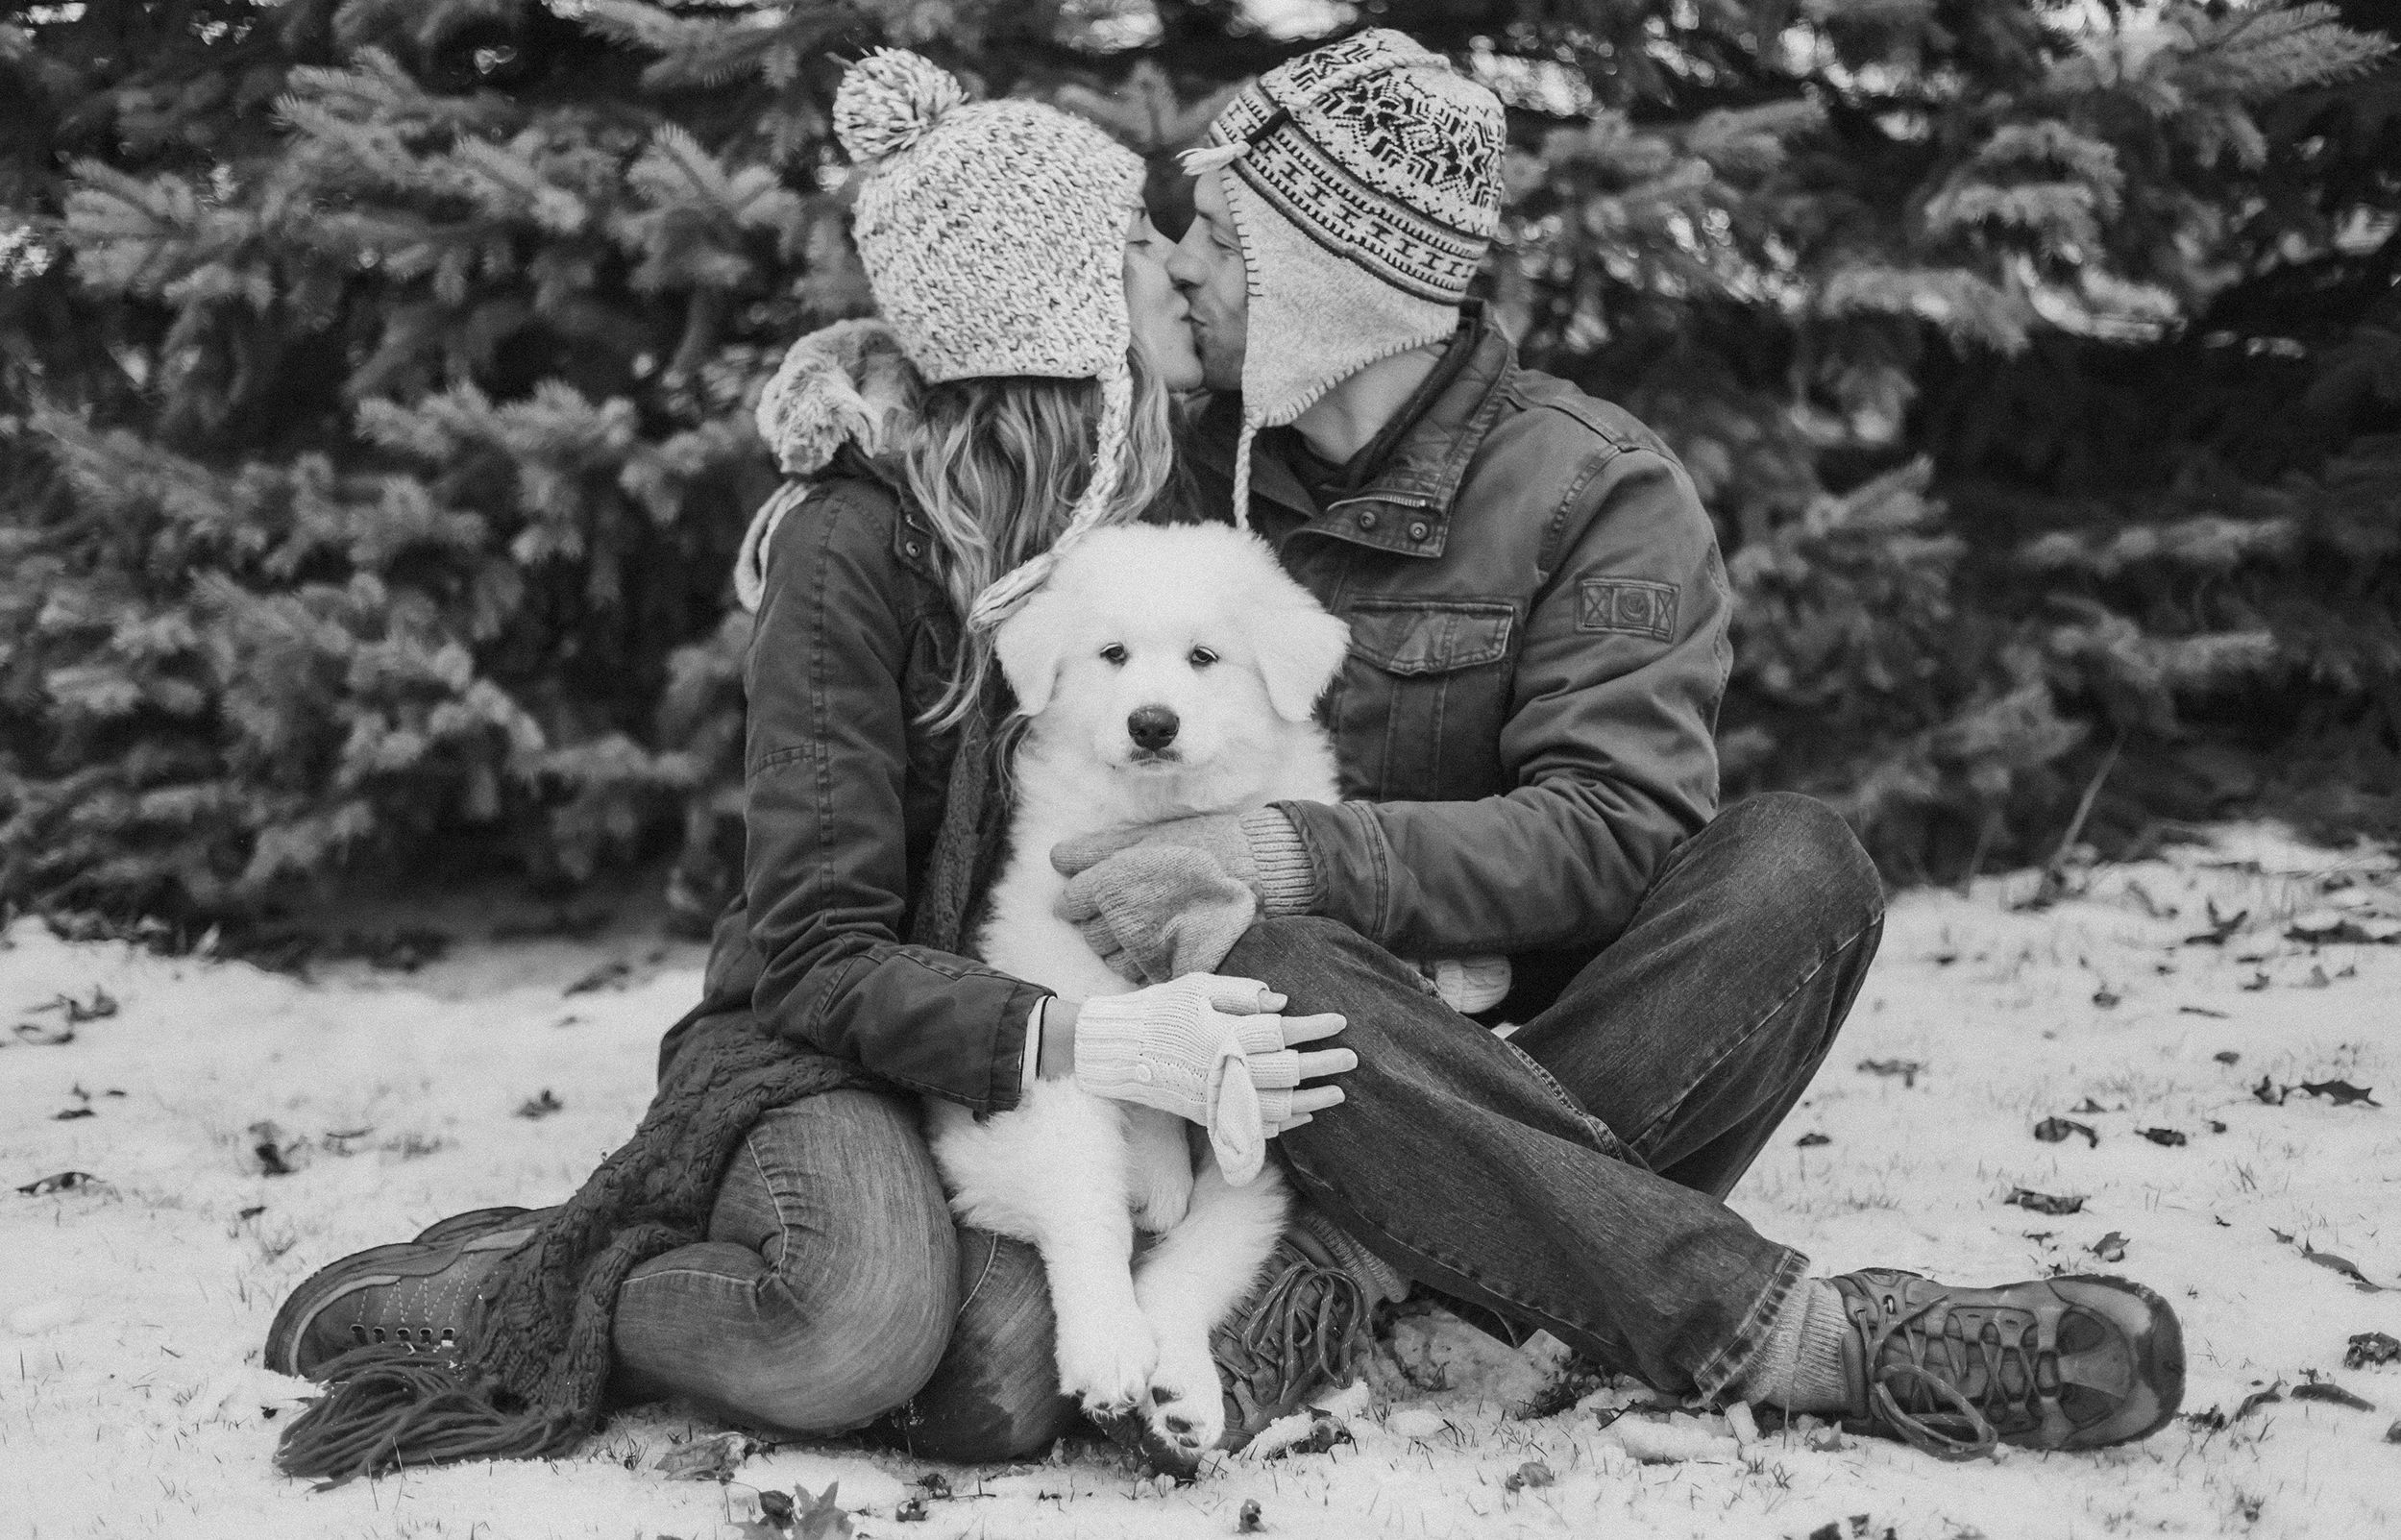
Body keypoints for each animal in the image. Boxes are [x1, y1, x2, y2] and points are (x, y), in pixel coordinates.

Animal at [922, 522, 1352, 1469]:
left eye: (1204, 657)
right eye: (1111, 654)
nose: (1152, 723)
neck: (1154, 823)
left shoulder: (1263, 1113)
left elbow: (1205, 1251)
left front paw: (1181, 1387)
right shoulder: (1055, 1048)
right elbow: (1090, 1205)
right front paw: (1110, 1347)